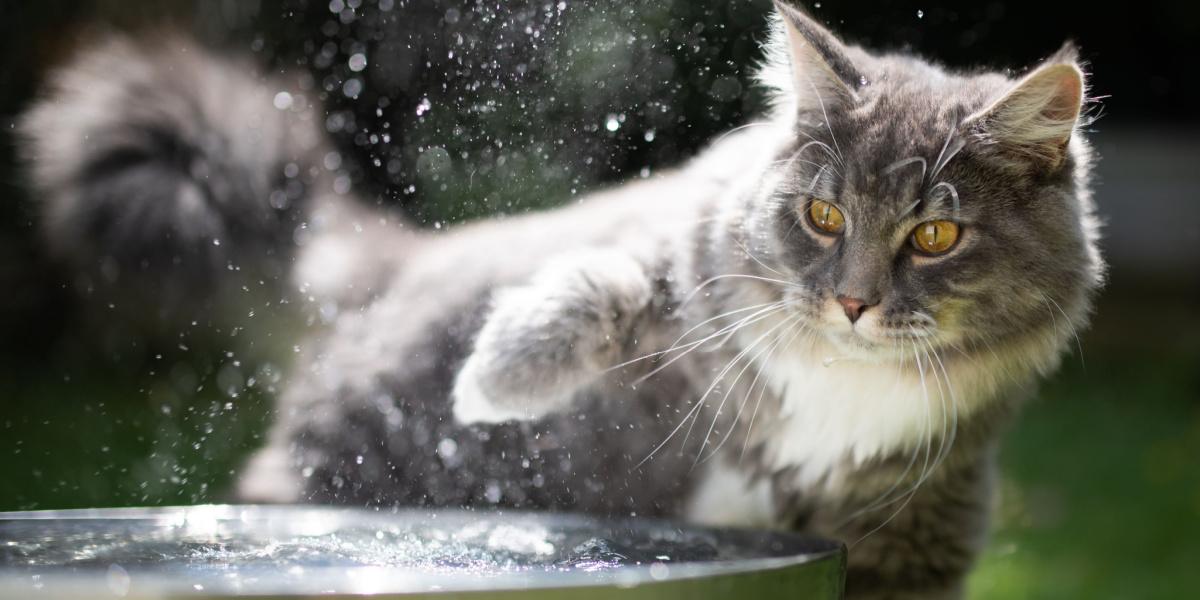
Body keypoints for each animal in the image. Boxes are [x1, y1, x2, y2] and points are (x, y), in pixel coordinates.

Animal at [21, 2, 1104, 597]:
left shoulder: (911, 537)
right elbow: (607, 283)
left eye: (933, 237)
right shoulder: (678, 257)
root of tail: (395, 266)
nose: (851, 303)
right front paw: (496, 381)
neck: (841, 382)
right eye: (824, 216)